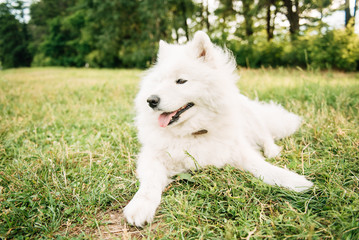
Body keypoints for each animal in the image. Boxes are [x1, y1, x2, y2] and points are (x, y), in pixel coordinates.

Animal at [123, 31, 312, 227]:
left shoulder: (239, 150)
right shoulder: (152, 156)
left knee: (266, 134)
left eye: (181, 81)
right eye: (158, 82)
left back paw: (272, 151)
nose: (151, 100)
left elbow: (264, 168)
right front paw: (140, 206)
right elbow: (149, 183)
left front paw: (294, 181)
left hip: (252, 118)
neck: (194, 132)